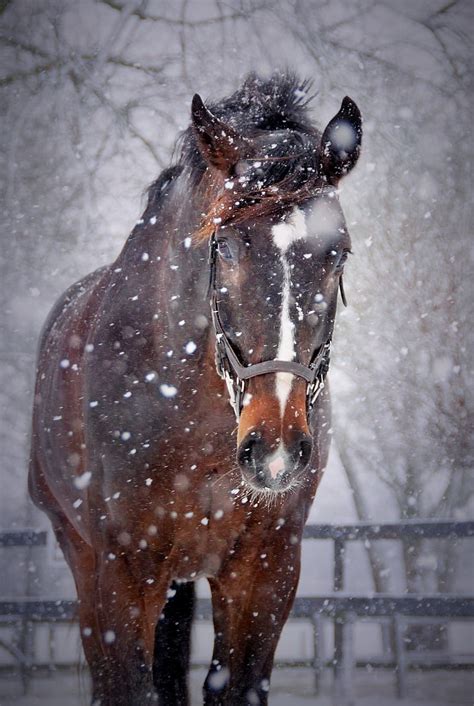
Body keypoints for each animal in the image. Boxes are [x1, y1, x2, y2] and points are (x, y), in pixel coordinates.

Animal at [28, 73, 362, 704]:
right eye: (225, 246)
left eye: (339, 253)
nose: (276, 450)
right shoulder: (123, 572)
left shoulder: (266, 569)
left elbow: (235, 685)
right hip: (81, 557)